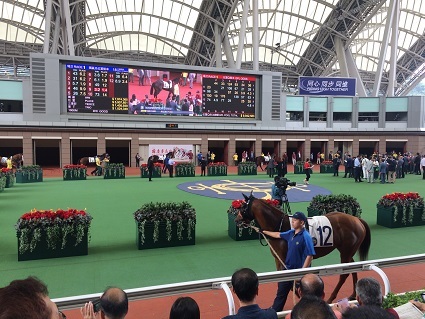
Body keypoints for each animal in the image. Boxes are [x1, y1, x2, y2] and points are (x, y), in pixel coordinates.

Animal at [234, 194, 370, 304]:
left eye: (242, 207)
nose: (236, 220)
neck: (280, 226)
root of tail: (357, 219)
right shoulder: (278, 259)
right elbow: (281, 280)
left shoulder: (286, 259)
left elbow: (290, 282)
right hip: (347, 251)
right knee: (353, 268)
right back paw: (353, 295)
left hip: (346, 252)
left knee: (344, 274)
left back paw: (331, 298)